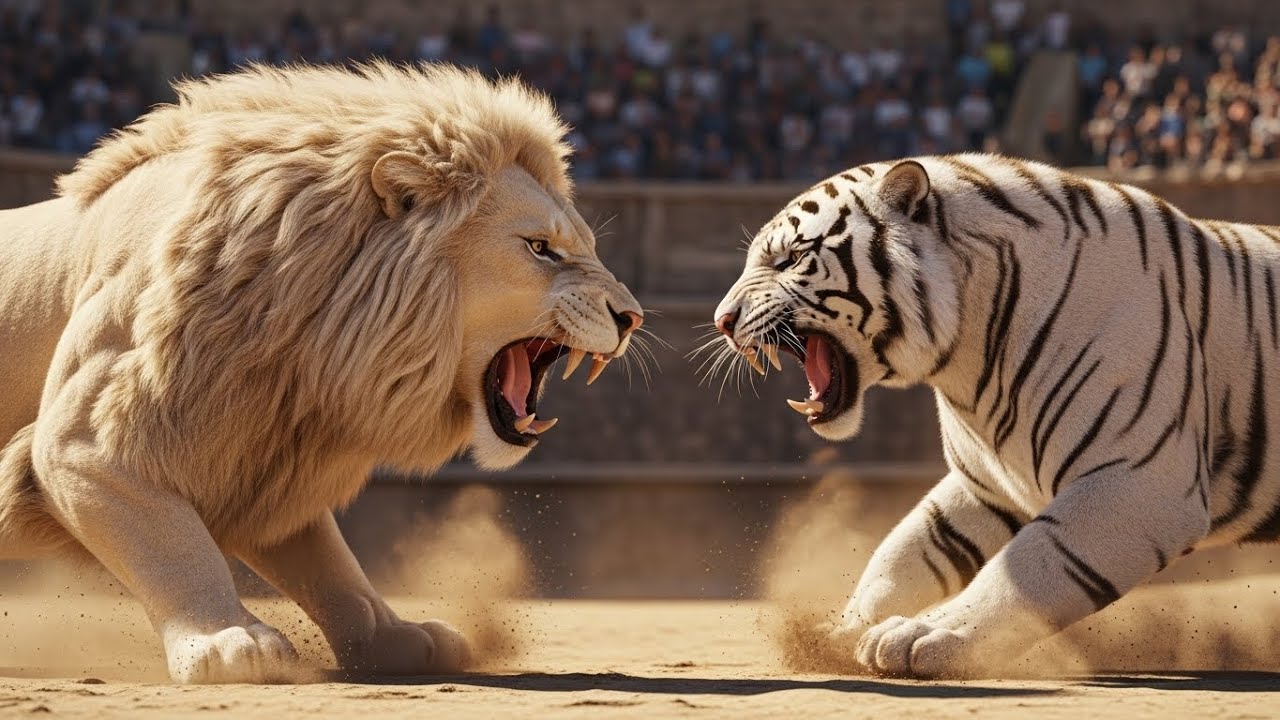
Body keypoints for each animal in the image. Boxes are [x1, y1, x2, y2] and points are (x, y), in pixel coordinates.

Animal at [0, 62, 643, 683]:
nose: (632, 317)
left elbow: (334, 569)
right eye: (540, 248)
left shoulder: (267, 459)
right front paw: (229, 642)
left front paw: (396, 637)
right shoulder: (84, 444)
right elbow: (173, 543)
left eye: (585, 245)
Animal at [711, 153, 1280, 678]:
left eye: (789, 260)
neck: (969, 354)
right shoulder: (987, 484)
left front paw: (922, 636)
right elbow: (903, 554)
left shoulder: (1140, 484)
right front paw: (836, 633)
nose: (721, 320)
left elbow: (1027, 567)